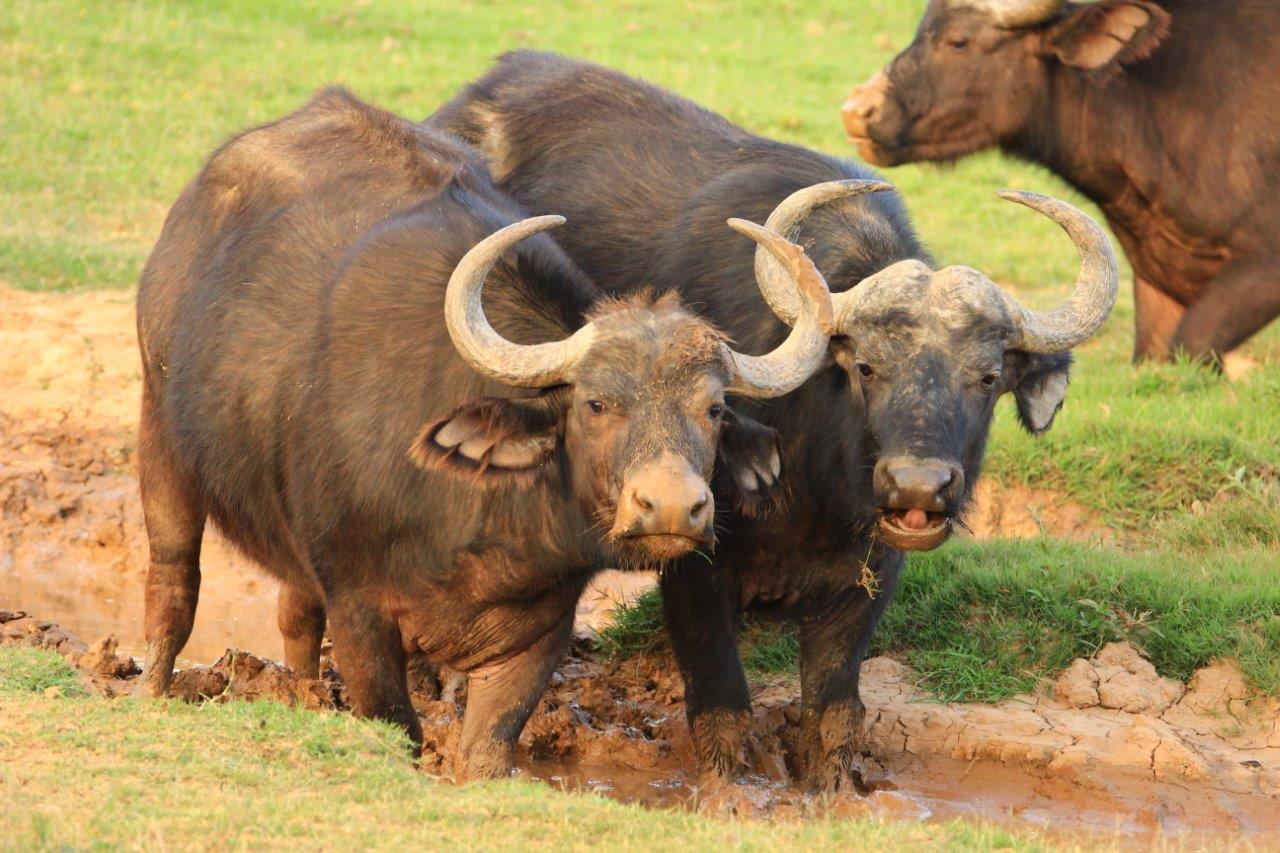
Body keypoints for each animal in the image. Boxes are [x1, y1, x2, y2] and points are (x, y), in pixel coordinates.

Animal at [132, 87, 829, 778]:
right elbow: (398, 728)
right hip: (158, 429)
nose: (675, 507)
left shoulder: (536, 635)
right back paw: (153, 691)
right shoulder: (360, 614)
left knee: (295, 611)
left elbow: (488, 751)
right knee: (173, 581)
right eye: (595, 404)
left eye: (713, 409)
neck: (477, 529)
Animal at [424, 49, 1116, 788]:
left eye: (986, 378)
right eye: (866, 367)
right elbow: (722, 700)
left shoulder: (870, 577)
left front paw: (831, 789)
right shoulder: (695, 564)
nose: (919, 486)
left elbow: (835, 709)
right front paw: (725, 790)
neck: (817, 479)